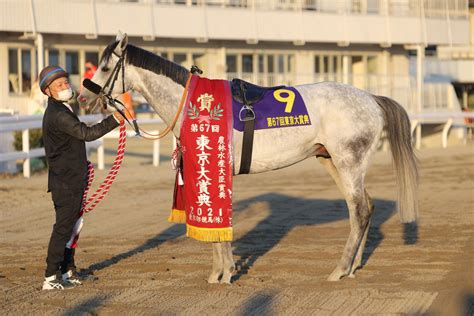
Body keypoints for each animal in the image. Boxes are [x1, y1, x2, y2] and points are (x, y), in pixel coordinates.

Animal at [78, 32, 418, 284]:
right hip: (332, 160)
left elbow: (219, 226)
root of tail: (371, 98)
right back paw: (353, 266)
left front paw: (225, 274)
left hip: (348, 162)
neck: (195, 106)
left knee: (359, 210)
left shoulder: (216, 169)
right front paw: (218, 273)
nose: (82, 98)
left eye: (105, 67)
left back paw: (339, 269)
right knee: (362, 208)